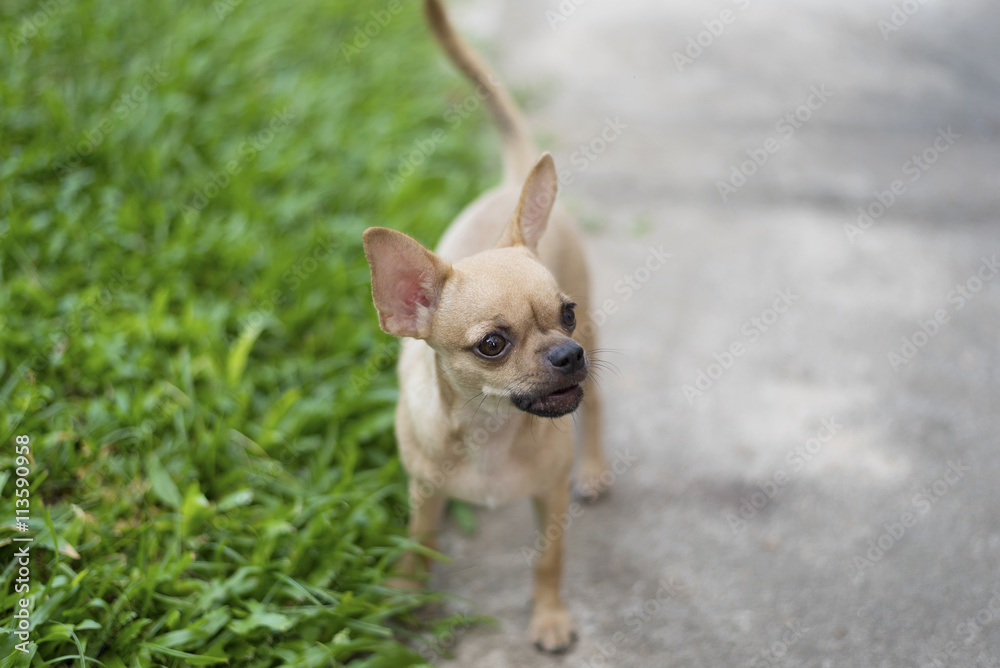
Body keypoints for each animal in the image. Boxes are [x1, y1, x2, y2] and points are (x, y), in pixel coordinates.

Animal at [362, 0, 608, 648]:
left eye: (565, 313)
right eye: (492, 345)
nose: (566, 354)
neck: (490, 430)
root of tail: (509, 186)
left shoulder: (549, 498)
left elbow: (549, 560)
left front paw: (549, 617)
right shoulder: (422, 492)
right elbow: (420, 542)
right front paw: (406, 592)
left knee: (598, 407)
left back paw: (596, 469)